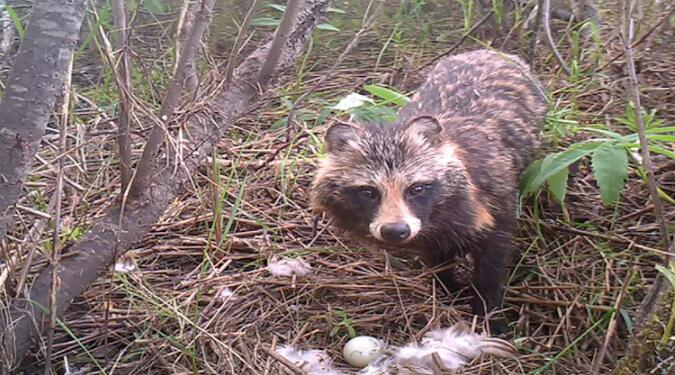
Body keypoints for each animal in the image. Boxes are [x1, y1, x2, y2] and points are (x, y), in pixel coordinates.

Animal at [312, 49, 548, 328]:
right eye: (368, 192)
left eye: (416, 189)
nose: (395, 231)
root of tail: (485, 51)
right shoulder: (428, 230)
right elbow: (437, 256)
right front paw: (446, 289)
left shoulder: (495, 202)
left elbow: (492, 260)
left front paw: (487, 308)